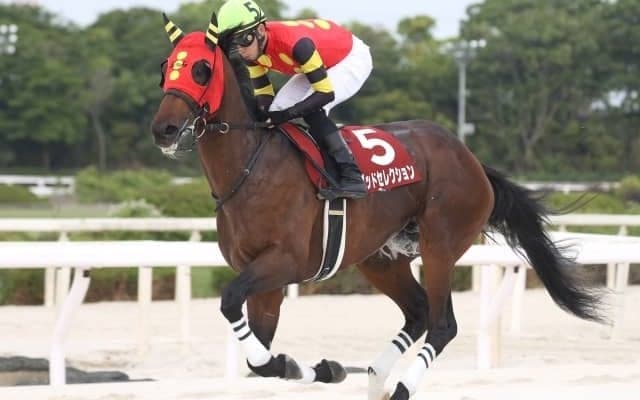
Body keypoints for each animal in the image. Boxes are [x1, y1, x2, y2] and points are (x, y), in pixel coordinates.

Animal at [150, 12, 606, 400]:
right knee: (418, 312)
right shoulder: (264, 278)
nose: (164, 130)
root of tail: (471, 159)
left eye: (201, 69)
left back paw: (401, 387)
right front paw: (321, 368)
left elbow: (230, 302)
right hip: (381, 258)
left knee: (442, 324)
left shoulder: (285, 262)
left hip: (441, 245)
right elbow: (260, 359)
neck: (253, 167)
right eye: (166, 66)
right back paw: (375, 376)